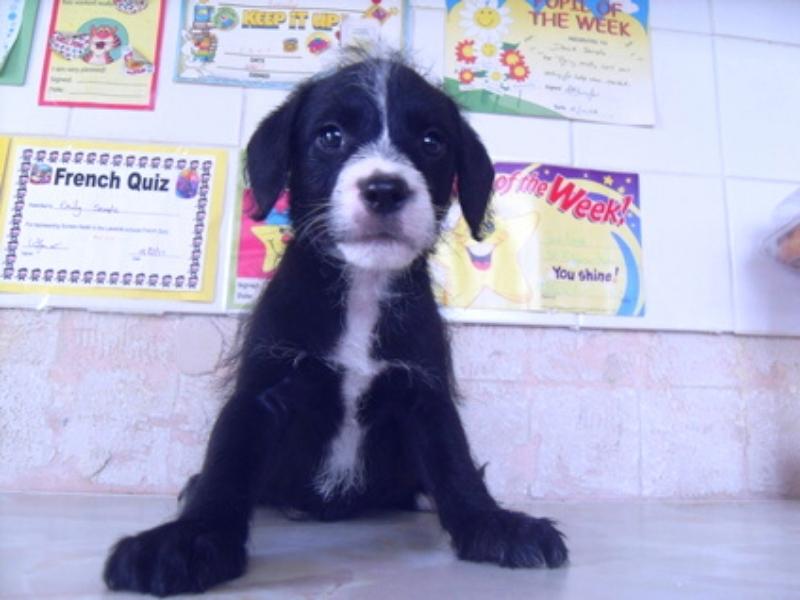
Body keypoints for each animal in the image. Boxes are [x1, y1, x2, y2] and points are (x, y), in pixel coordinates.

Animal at [103, 55, 568, 596]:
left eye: (432, 141)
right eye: (330, 135)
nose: (385, 189)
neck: (362, 288)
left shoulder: (425, 392)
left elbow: (455, 464)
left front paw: (492, 524)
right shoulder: (261, 391)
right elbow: (227, 464)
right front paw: (192, 538)